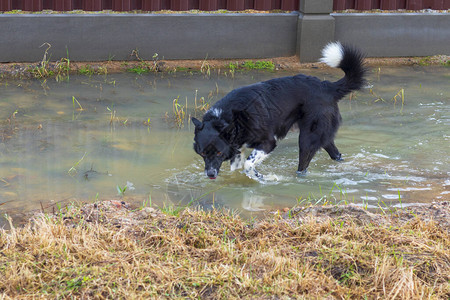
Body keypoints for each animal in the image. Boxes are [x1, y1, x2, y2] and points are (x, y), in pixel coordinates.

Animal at [192, 42, 366, 180]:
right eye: (202, 153)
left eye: (219, 153)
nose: (210, 174)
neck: (231, 119)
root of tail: (327, 87)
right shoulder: (237, 147)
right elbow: (237, 165)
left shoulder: (268, 142)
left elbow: (248, 164)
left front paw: (261, 177)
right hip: (321, 135)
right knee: (336, 154)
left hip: (307, 139)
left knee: (303, 166)